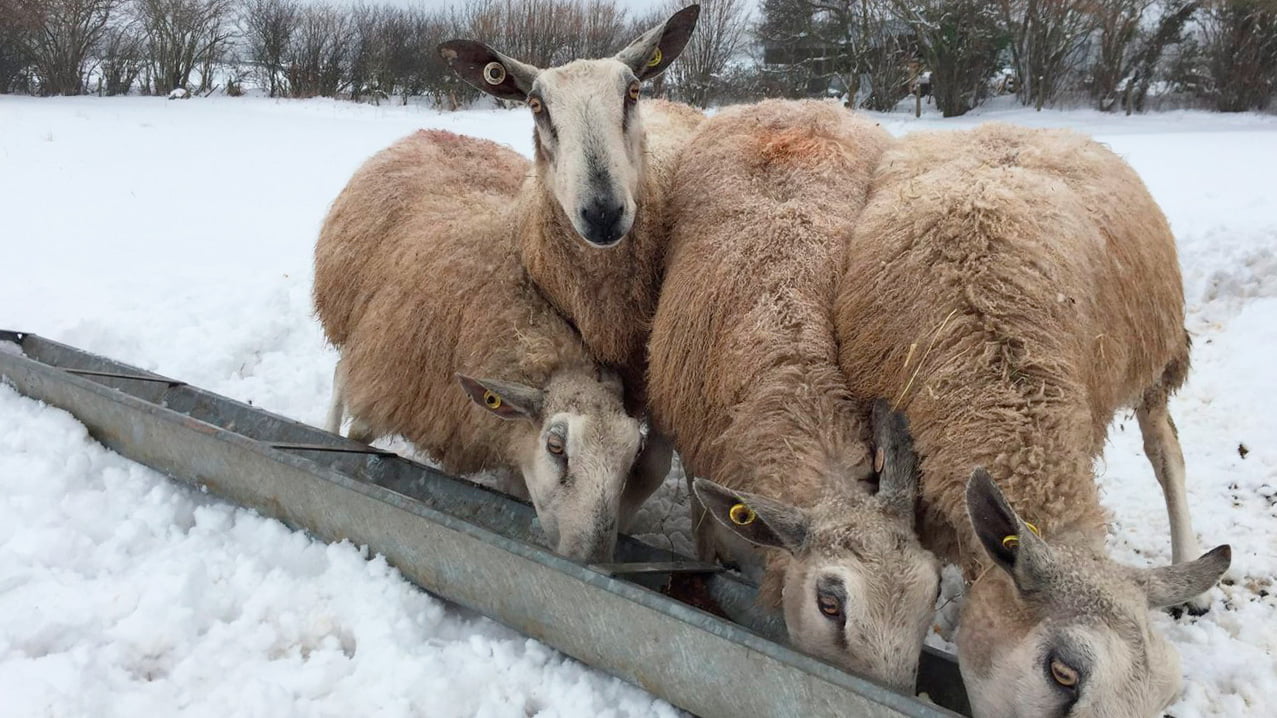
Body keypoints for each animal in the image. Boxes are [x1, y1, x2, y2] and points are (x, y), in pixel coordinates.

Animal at [310, 131, 648, 562]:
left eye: (633, 455)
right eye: (556, 446)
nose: (592, 562)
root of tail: (435, 131)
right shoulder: (389, 377)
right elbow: (358, 437)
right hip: (358, 323)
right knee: (341, 376)